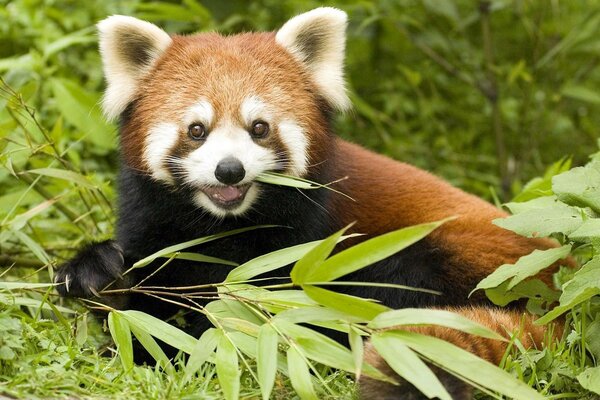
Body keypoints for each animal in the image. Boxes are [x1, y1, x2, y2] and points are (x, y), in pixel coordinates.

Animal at [54, 7, 564, 398]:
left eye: (259, 128)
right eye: (196, 130)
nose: (229, 170)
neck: (222, 226)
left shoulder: (307, 239)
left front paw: (202, 338)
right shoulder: (154, 220)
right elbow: (145, 288)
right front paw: (101, 276)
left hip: (466, 258)